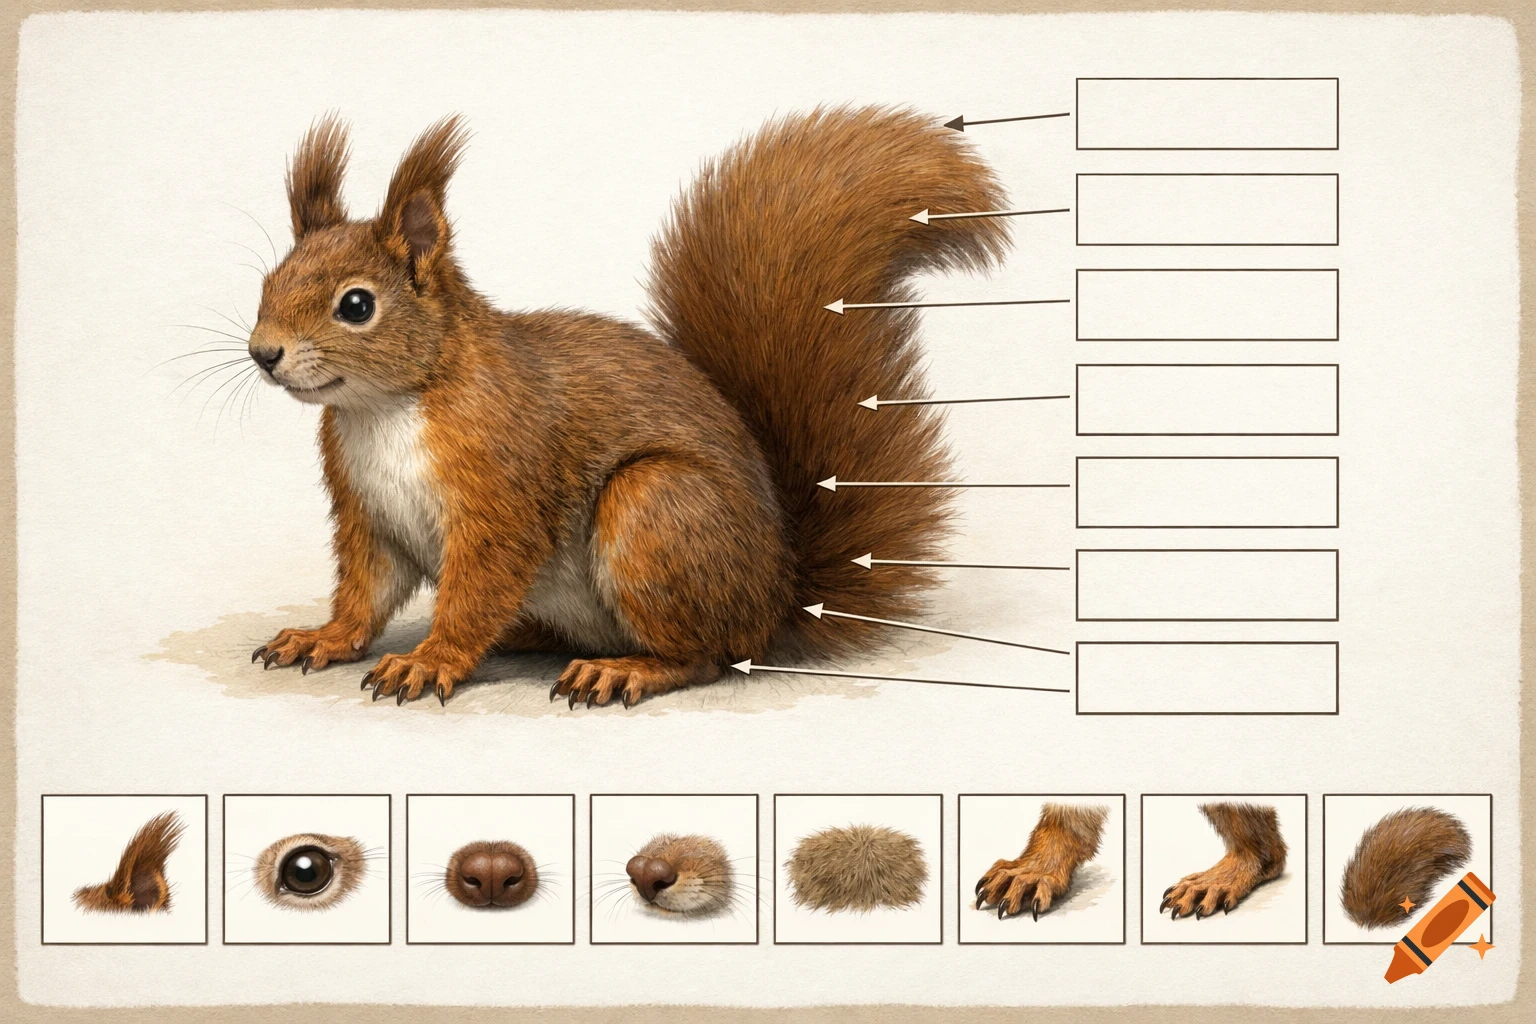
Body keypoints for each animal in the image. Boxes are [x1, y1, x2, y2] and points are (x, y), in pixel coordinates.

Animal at [247, 106, 1010, 707]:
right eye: (269, 282)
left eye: (356, 305)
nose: (263, 352)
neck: (387, 409)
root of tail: (774, 601)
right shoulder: (367, 513)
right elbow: (365, 591)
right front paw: (323, 637)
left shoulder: (502, 496)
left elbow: (475, 590)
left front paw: (430, 659)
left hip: (656, 510)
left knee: (702, 656)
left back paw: (623, 671)